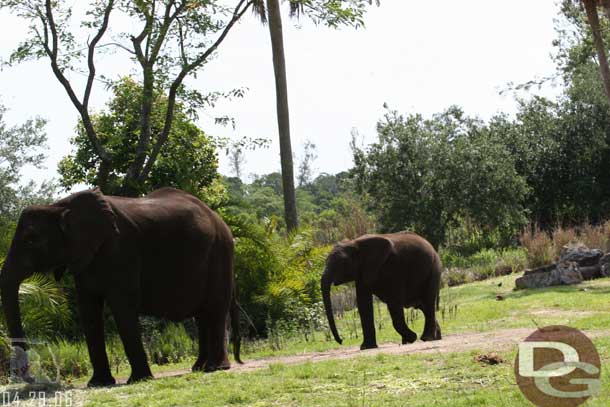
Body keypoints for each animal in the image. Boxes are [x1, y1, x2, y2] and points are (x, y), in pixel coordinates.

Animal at [0, 186, 240, 388]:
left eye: (31, 240)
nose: (32, 378)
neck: (58, 206)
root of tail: (219, 219)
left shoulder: (121, 249)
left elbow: (122, 306)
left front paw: (139, 380)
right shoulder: (86, 256)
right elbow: (88, 309)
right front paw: (98, 384)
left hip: (220, 251)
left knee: (214, 309)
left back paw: (215, 368)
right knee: (202, 315)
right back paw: (199, 367)